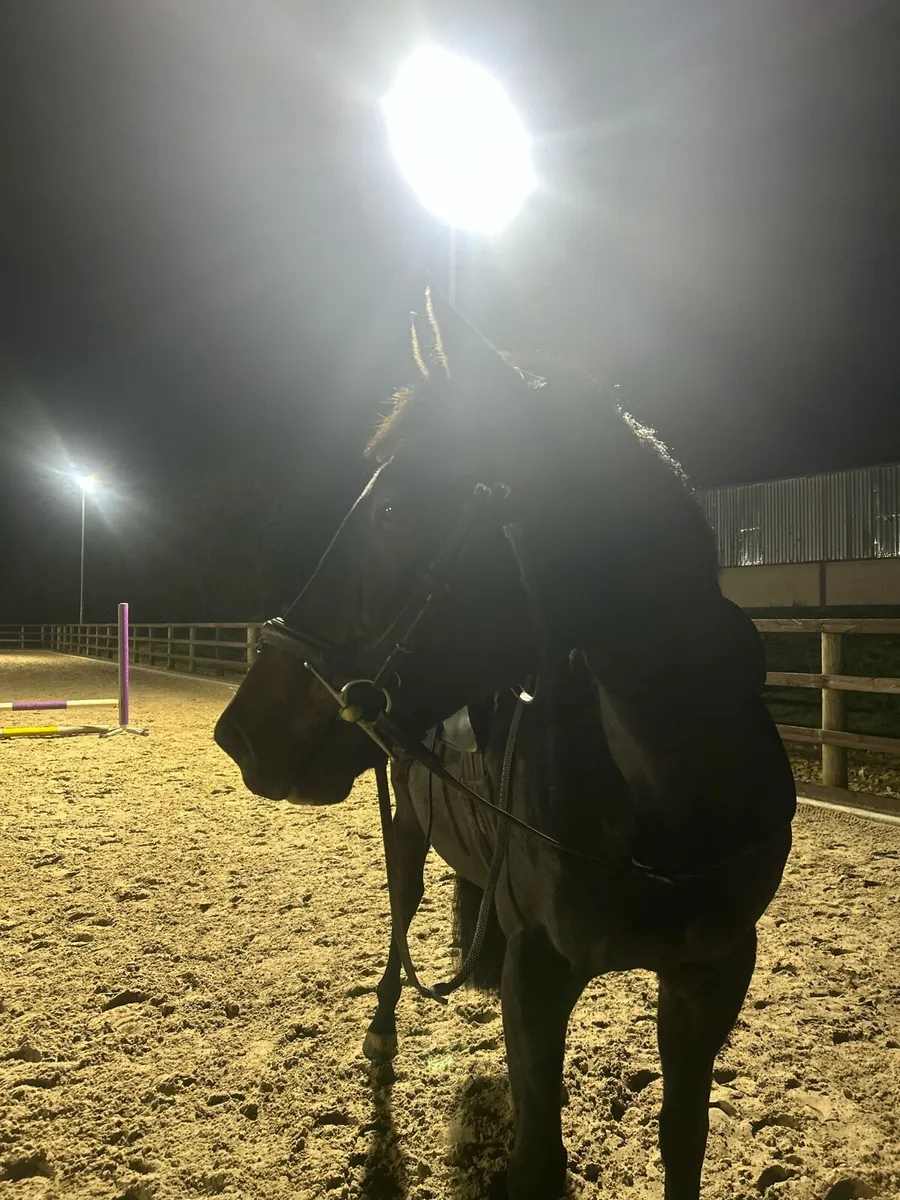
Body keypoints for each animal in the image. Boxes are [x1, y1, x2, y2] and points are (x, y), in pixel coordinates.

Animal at [214, 289, 796, 1199]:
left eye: (392, 511)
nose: (243, 732)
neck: (666, 797)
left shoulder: (711, 976)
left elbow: (685, 1140)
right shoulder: (540, 975)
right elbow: (539, 1156)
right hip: (403, 830)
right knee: (402, 911)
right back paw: (382, 1026)